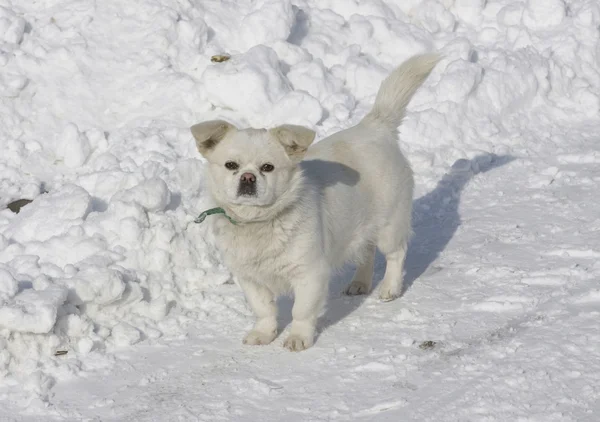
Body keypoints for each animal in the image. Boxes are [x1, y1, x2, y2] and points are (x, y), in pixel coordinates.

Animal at [192, 53, 440, 350]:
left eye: (267, 167)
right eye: (231, 165)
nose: (248, 177)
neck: (259, 222)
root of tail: (376, 126)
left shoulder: (309, 274)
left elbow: (301, 311)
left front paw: (298, 338)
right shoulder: (250, 278)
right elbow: (264, 309)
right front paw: (264, 333)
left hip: (389, 225)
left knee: (396, 253)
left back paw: (390, 288)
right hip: (360, 226)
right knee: (366, 252)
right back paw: (360, 283)